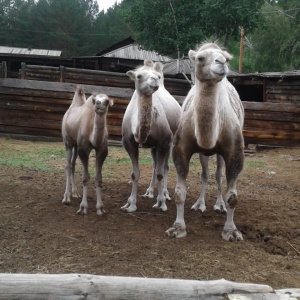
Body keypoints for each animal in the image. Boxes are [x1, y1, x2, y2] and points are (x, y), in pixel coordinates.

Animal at [61, 85, 113, 214]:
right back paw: (66, 198)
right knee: (68, 165)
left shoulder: (102, 151)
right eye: (95, 101)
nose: (99, 105)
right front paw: (83, 207)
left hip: (75, 145)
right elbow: (85, 178)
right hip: (67, 142)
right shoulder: (83, 150)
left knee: (73, 165)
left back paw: (75, 193)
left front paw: (100, 208)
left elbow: (98, 179)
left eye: (107, 101)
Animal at [121, 59, 180, 212]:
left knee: (164, 167)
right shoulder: (128, 142)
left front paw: (161, 203)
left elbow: (160, 172)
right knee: (154, 164)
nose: (154, 82)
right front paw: (130, 204)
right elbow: (135, 174)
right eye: (139, 76)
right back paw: (149, 192)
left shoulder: (164, 141)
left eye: (157, 76)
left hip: (170, 142)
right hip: (153, 146)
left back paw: (165, 194)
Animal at [165, 42, 245, 241]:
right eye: (200, 58)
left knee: (218, 174)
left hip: (219, 154)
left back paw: (220, 205)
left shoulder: (234, 152)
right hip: (203, 152)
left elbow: (233, 196)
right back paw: (199, 204)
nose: (221, 63)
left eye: (227, 58)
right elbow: (179, 193)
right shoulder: (181, 149)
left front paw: (231, 231)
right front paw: (178, 227)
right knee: (205, 174)